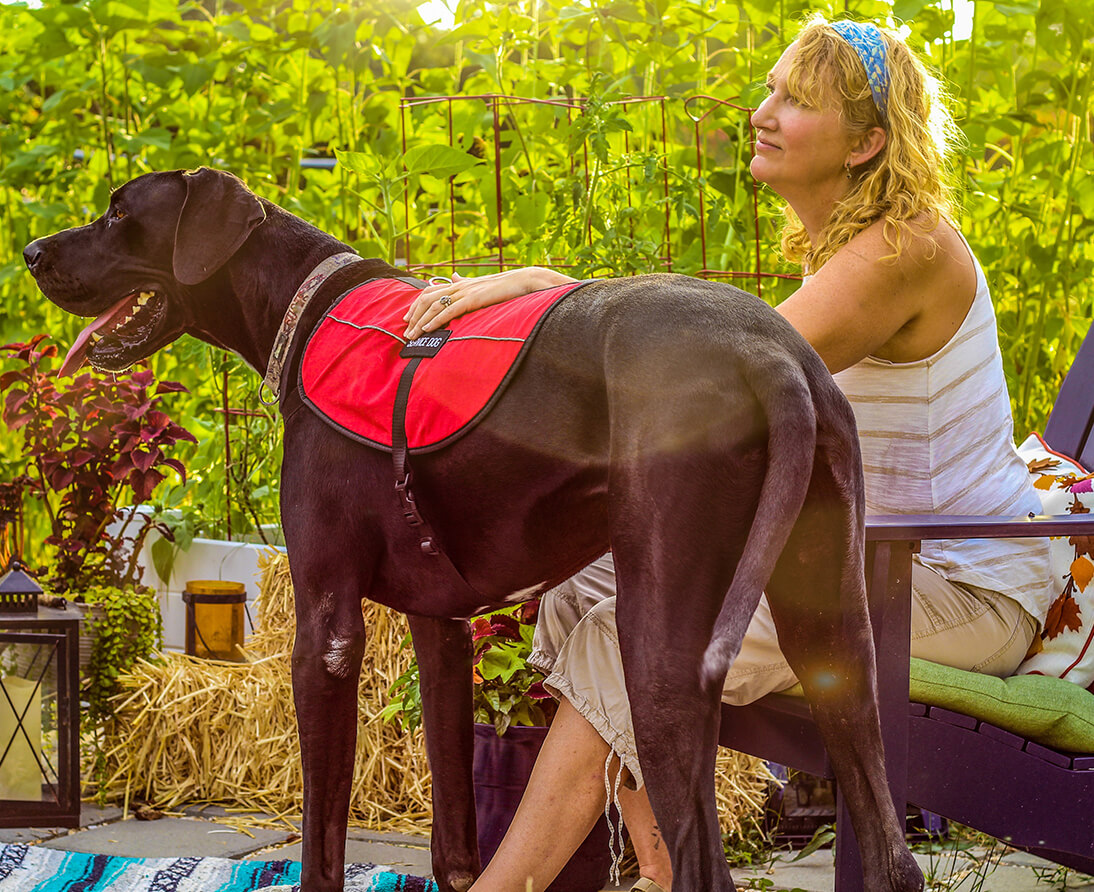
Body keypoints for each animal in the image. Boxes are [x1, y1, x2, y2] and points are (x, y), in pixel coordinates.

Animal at [23, 169, 923, 892]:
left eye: (119, 211)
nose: (29, 251)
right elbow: (454, 830)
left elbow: (323, 837)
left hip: (659, 650)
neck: (307, 309)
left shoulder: (325, 628)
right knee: (892, 853)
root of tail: (772, 358)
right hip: (836, 638)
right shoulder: (443, 627)